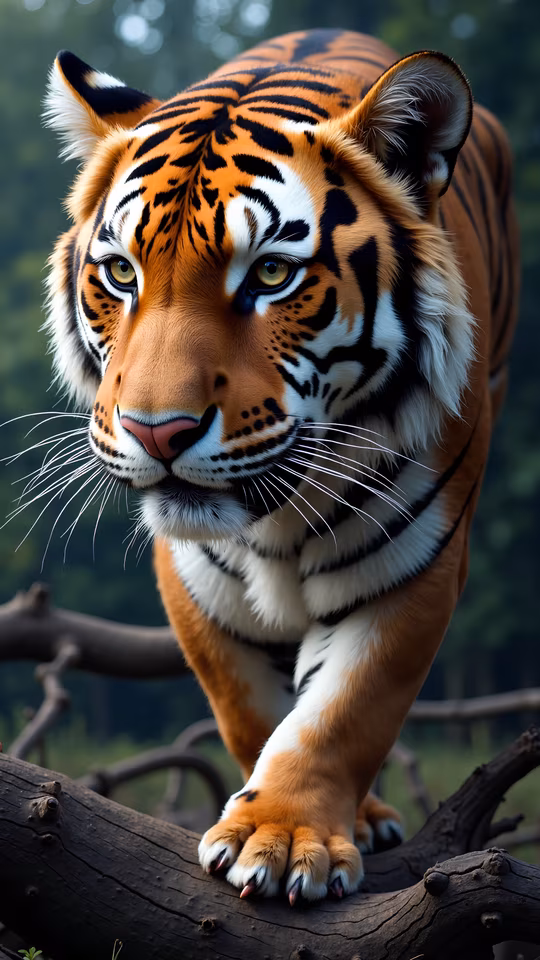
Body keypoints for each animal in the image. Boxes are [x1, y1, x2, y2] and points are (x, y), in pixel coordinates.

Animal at [43, 27, 519, 904]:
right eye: (122, 273)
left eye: (270, 274)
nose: (156, 432)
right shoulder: (192, 575)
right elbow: (250, 709)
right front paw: (280, 822)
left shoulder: (417, 561)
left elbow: (345, 709)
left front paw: (287, 838)